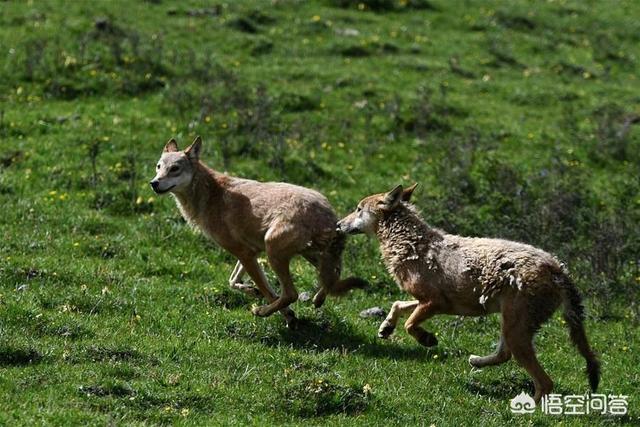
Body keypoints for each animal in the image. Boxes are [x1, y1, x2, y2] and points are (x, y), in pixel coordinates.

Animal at [149, 135, 364, 326]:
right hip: (307, 255)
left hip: (275, 252)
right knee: (334, 276)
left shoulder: (245, 253)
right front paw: (253, 291)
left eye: (174, 169)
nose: (154, 183)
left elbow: (269, 292)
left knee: (292, 293)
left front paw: (287, 316)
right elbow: (233, 281)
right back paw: (317, 300)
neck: (210, 195)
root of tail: (329, 214)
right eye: (158, 167)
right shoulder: (251, 252)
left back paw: (261, 312)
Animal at [340, 185, 600, 404]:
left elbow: (410, 324)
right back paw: (476, 361)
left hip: (515, 330)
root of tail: (559, 269)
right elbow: (397, 305)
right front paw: (386, 328)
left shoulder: (434, 302)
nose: (338, 225)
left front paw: (427, 339)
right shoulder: (424, 300)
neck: (410, 243)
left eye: (358, 209)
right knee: (505, 355)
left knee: (545, 383)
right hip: (511, 327)